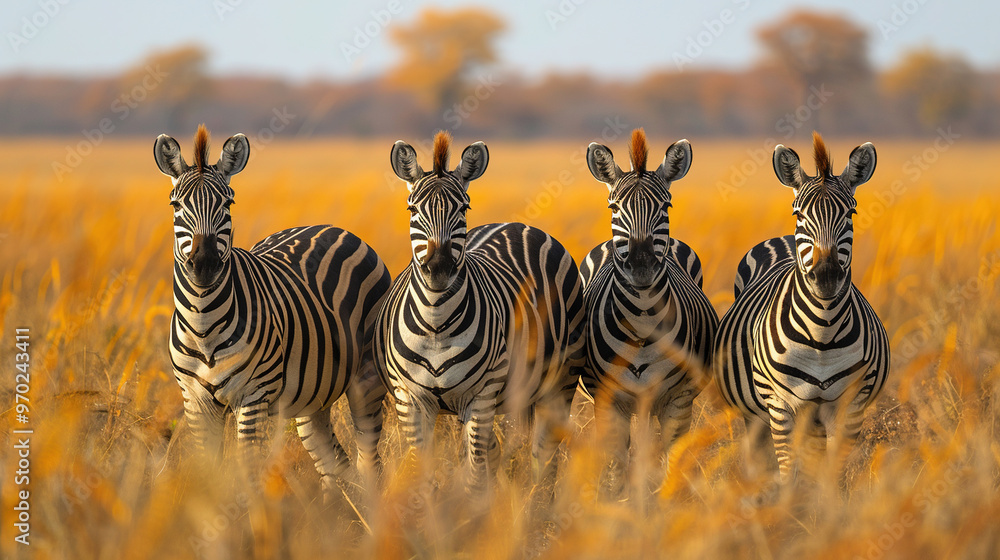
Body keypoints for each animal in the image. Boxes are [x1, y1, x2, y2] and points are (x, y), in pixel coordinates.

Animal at [154, 125, 391, 492]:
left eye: (228, 202)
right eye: (175, 203)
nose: (204, 264)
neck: (203, 323)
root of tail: (331, 226)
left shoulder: (253, 395)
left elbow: (248, 470)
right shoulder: (196, 402)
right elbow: (210, 472)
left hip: (365, 378)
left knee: (368, 462)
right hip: (312, 396)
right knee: (334, 463)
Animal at [374, 131, 585, 493]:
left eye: (463, 208)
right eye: (412, 208)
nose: (439, 268)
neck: (436, 324)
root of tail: (514, 224)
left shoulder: (482, 395)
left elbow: (475, 477)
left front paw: (474, 509)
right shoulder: (409, 399)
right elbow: (422, 474)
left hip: (560, 381)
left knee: (543, 455)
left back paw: (539, 499)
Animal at [578, 129, 719, 496]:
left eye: (665, 206)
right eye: (613, 207)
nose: (641, 265)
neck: (642, 322)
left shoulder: (678, 399)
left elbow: (673, 457)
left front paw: (666, 500)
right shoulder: (608, 400)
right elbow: (617, 465)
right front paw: (618, 501)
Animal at [713, 132, 889, 480]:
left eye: (850, 214)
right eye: (799, 215)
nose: (826, 276)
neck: (822, 331)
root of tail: (781, 239)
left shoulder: (850, 406)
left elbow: (833, 475)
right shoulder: (780, 405)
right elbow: (787, 471)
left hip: (816, 417)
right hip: (759, 413)